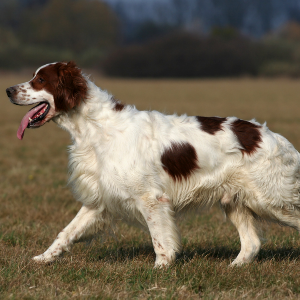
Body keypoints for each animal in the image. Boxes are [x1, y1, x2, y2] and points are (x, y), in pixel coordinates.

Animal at [5, 61, 300, 268]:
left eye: (40, 79)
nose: (8, 90)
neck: (96, 128)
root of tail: (276, 138)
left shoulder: (150, 198)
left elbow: (160, 239)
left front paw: (160, 268)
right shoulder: (99, 199)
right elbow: (66, 233)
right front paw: (43, 258)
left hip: (272, 199)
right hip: (235, 200)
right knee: (251, 244)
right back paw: (234, 266)